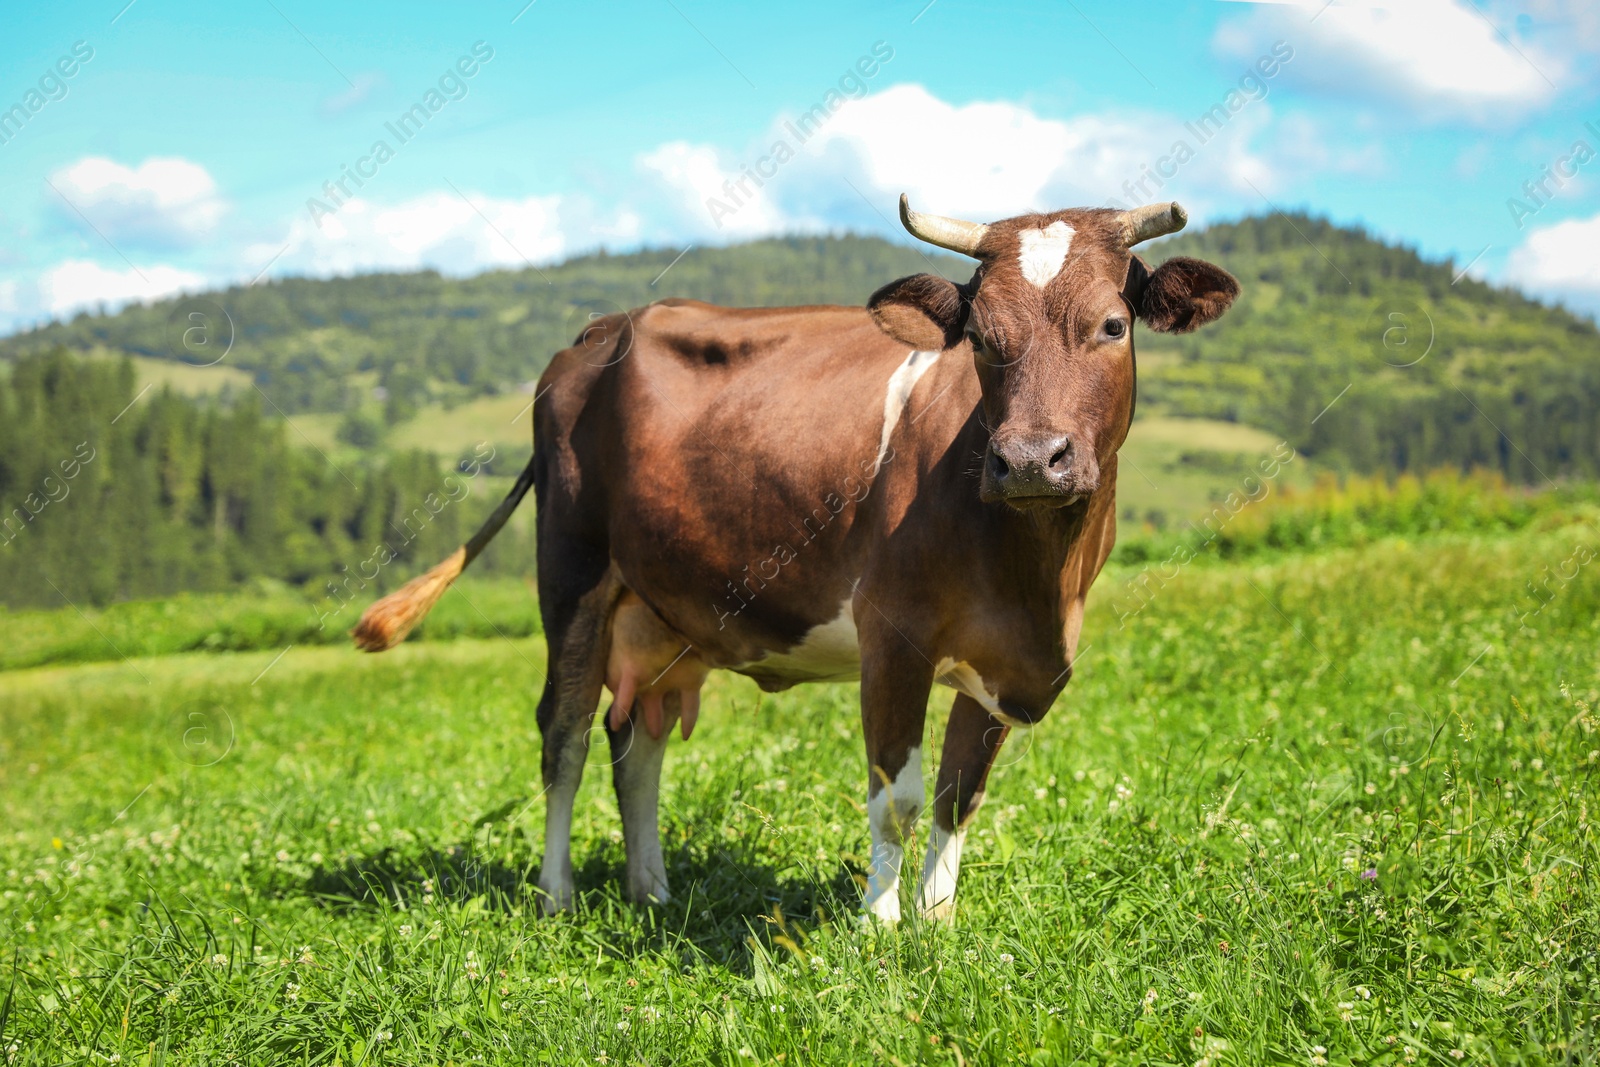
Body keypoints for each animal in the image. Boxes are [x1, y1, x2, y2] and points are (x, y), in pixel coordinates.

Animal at [356, 194, 1241, 927]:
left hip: (662, 612)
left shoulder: (1006, 660)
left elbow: (957, 797)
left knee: (635, 742)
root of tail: (602, 329)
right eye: (983, 338)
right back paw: (556, 895)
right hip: (572, 571)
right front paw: (878, 925)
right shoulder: (893, 636)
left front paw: (938, 923)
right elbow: (897, 798)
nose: (1028, 459)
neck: (1037, 578)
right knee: (564, 735)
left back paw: (652, 890)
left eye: (1112, 326)